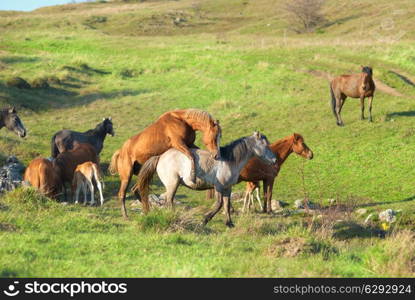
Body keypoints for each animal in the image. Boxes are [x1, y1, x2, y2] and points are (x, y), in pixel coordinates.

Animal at [136, 132, 278, 227]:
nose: (274, 160)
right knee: (169, 201)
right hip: (173, 184)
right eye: (265, 145)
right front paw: (204, 220)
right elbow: (219, 204)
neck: (228, 161)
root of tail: (160, 156)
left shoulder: (227, 188)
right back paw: (174, 217)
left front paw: (229, 223)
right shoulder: (219, 187)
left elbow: (226, 205)